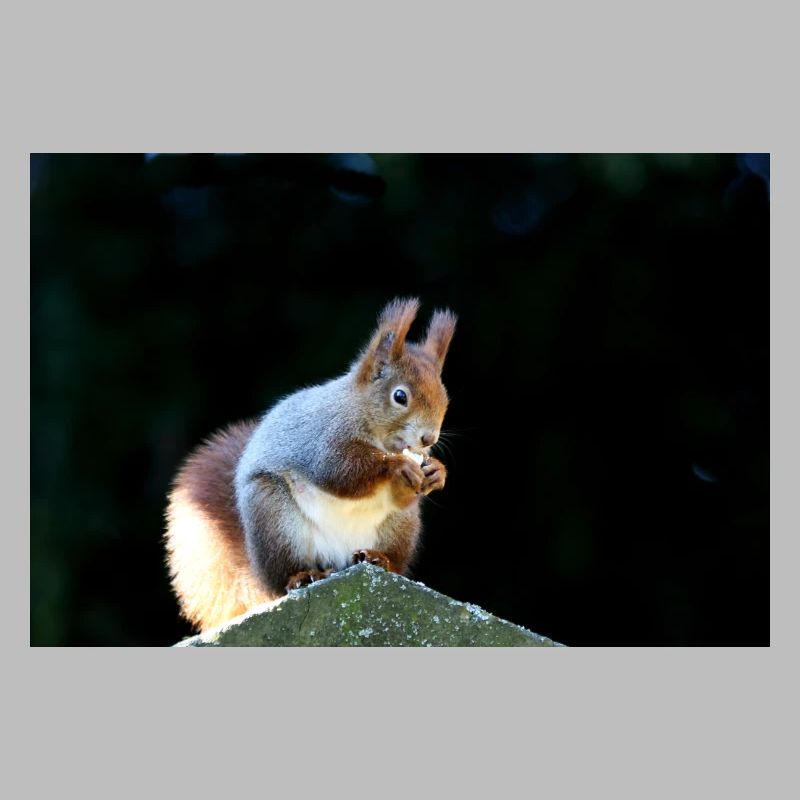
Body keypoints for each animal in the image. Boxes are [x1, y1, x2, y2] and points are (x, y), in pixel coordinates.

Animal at [164, 297, 456, 631]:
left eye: (444, 398)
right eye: (400, 396)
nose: (428, 437)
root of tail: (337, 559)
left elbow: (402, 494)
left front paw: (436, 472)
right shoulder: (322, 440)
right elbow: (340, 471)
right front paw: (395, 467)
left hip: (400, 525)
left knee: (392, 554)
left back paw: (379, 559)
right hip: (274, 517)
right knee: (285, 574)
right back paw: (303, 576)